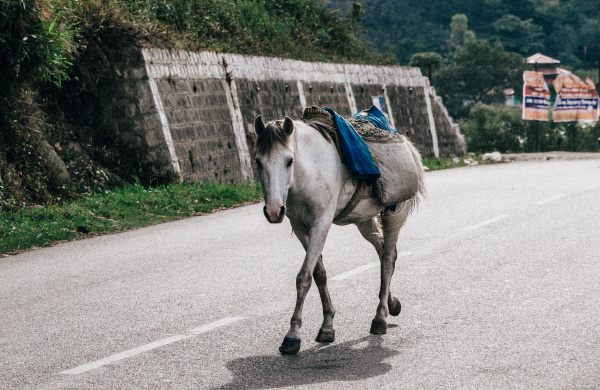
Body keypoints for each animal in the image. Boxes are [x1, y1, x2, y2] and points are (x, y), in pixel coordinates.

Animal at [254, 114, 426, 354]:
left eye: (289, 161)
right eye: (258, 161)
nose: (273, 210)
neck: (310, 171)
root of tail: (408, 146)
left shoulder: (321, 224)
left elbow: (304, 277)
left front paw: (292, 335)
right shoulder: (301, 228)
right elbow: (319, 274)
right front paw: (327, 325)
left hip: (394, 213)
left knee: (388, 258)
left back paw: (380, 317)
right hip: (363, 219)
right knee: (382, 249)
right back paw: (391, 304)